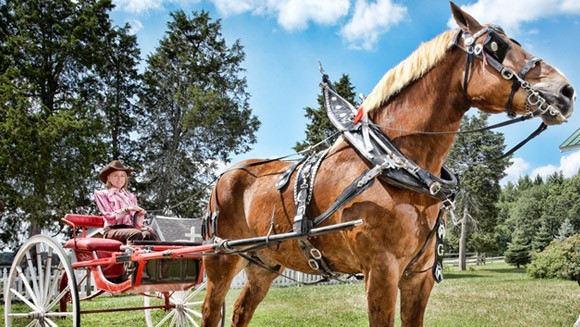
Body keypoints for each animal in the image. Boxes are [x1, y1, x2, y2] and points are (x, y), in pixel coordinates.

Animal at [202, 3, 572, 327]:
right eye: (496, 46)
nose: (566, 90)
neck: (396, 164)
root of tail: (225, 176)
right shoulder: (381, 271)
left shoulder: (419, 277)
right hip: (221, 258)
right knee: (210, 310)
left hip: (264, 263)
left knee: (241, 311)